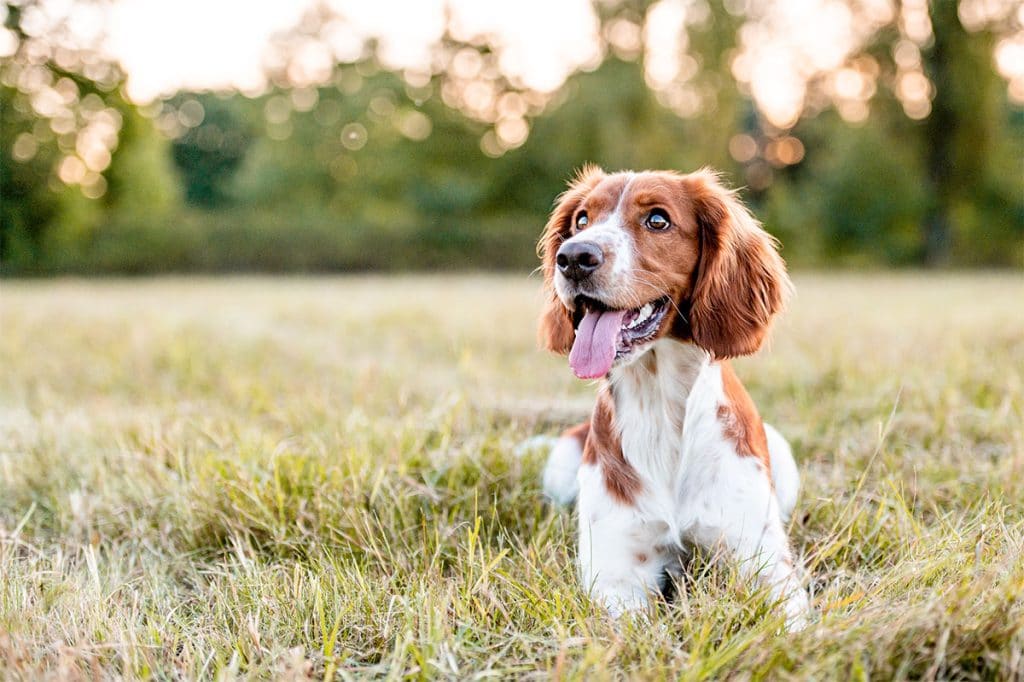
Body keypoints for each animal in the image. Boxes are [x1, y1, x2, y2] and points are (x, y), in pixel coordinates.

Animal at [540, 163, 811, 626]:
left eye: (657, 220)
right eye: (582, 220)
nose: (574, 257)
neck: (658, 406)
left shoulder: (764, 562)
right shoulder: (616, 574)